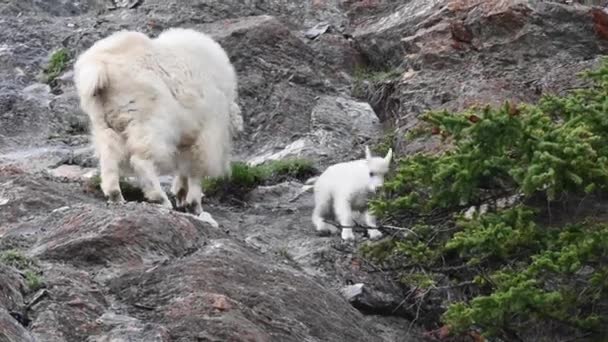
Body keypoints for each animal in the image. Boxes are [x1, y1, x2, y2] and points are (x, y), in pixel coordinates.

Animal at [72, 27, 241, 214]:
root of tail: (100, 68)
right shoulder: (207, 131)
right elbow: (196, 169)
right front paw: (194, 204)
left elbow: (184, 167)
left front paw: (182, 195)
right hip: (147, 120)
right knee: (141, 159)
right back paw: (159, 198)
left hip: (105, 123)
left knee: (109, 156)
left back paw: (115, 195)